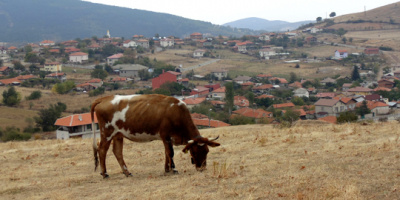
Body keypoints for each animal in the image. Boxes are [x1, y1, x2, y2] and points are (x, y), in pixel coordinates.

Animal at [90, 94, 220, 178]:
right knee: (102, 150)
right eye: (195, 152)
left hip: (118, 135)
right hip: (107, 132)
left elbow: (166, 153)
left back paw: (127, 172)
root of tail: (104, 98)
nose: (202, 168)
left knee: (117, 152)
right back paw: (105, 173)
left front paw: (167, 169)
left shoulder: (166, 138)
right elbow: (170, 153)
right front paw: (174, 169)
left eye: (207, 151)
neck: (176, 112)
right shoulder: (166, 135)